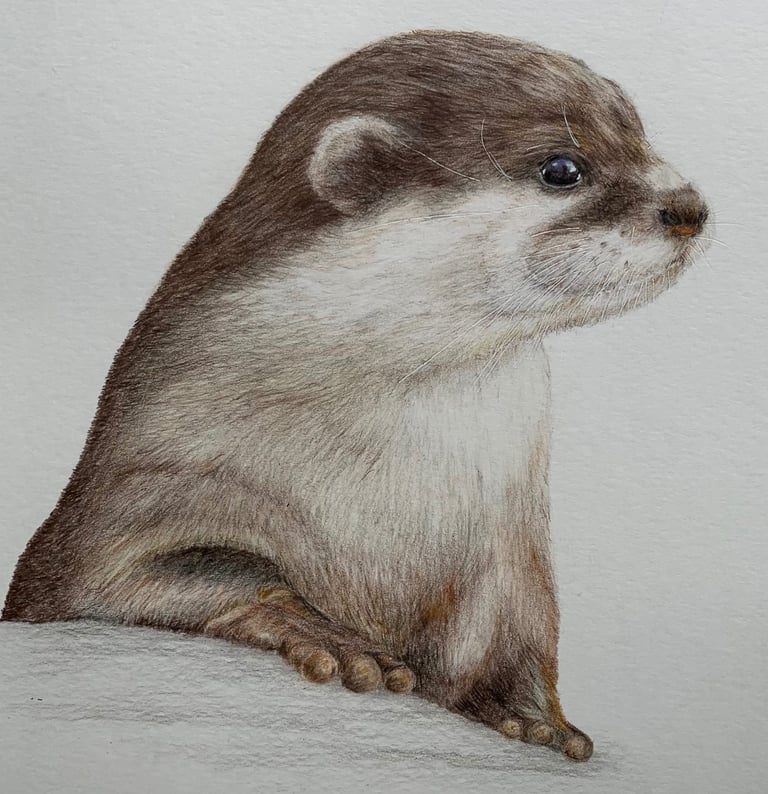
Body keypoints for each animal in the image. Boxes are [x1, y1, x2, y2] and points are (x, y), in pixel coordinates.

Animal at [2, 31, 709, 762]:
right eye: (563, 167)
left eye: (642, 135)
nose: (689, 207)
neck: (395, 484)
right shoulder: (136, 490)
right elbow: (177, 573)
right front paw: (325, 636)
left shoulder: (511, 550)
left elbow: (518, 632)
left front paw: (530, 713)